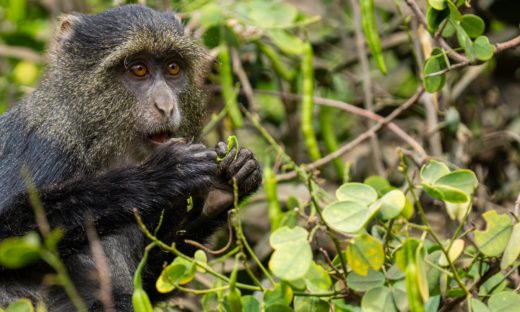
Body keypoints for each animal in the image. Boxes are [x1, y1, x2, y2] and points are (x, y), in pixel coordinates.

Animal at [0, 4, 260, 310]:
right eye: (138, 69)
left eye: (173, 68)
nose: (166, 106)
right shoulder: (45, 146)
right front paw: (159, 176)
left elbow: (153, 282)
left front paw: (226, 184)